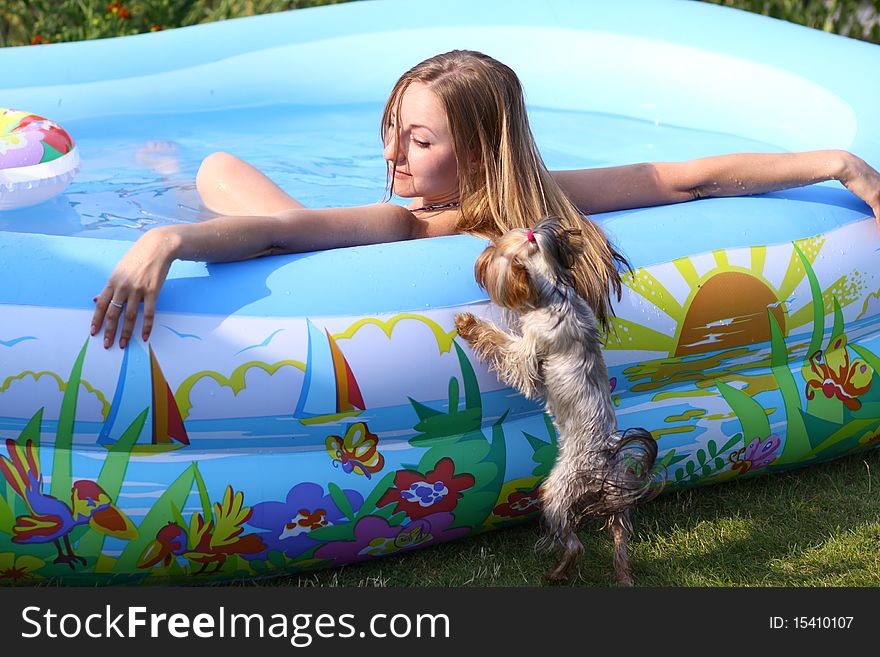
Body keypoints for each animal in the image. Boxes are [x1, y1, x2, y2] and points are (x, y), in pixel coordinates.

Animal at [458, 217, 656, 584]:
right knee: (619, 536)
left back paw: (558, 572)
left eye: (496, 251)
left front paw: (468, 323)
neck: (552, 293)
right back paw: (623, 574)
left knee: (574, 543)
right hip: (617, 501)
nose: (481, 258)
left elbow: (502, 344)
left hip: (558, 489)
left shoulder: (527, 354)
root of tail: (605, 461)